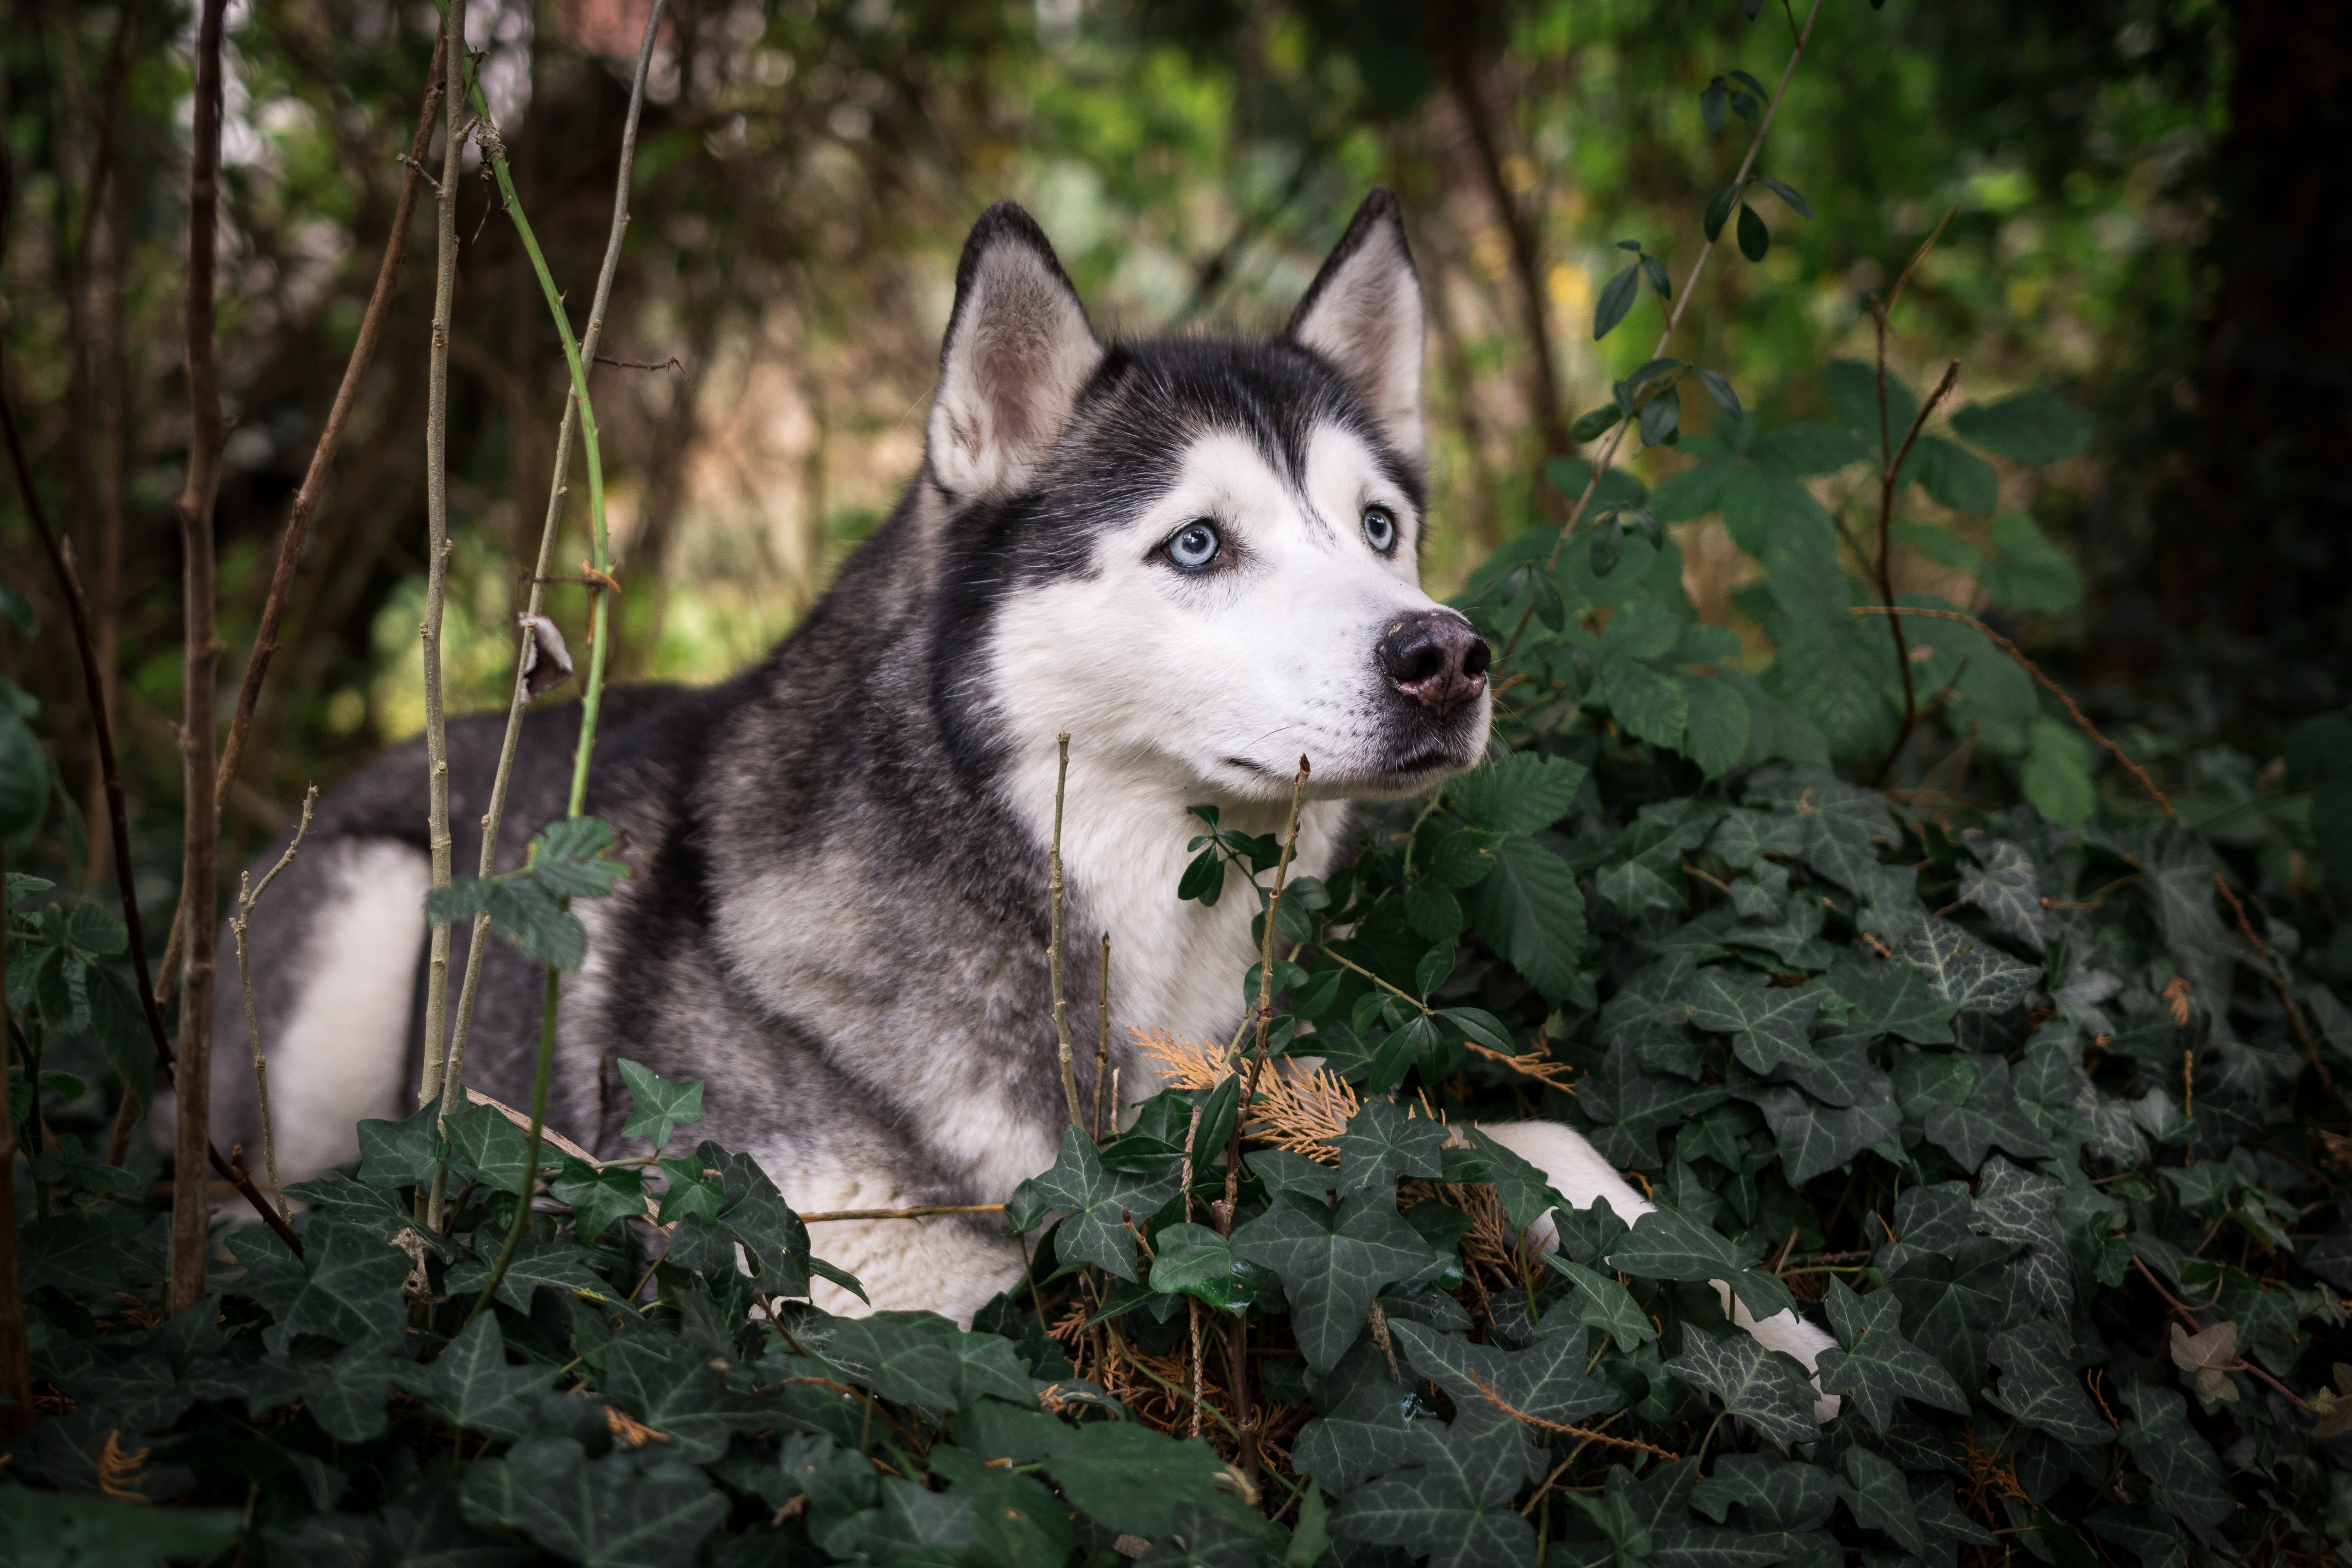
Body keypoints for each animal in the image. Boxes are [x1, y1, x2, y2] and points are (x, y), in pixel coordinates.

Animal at [207, 190, 1835, 1401]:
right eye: (1198, 546)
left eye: (1380, 528)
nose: (1446, 656)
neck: (1121, 930)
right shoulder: (838, 1272)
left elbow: (1530, 1144)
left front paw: (1791, 1338)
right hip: (370, 931)